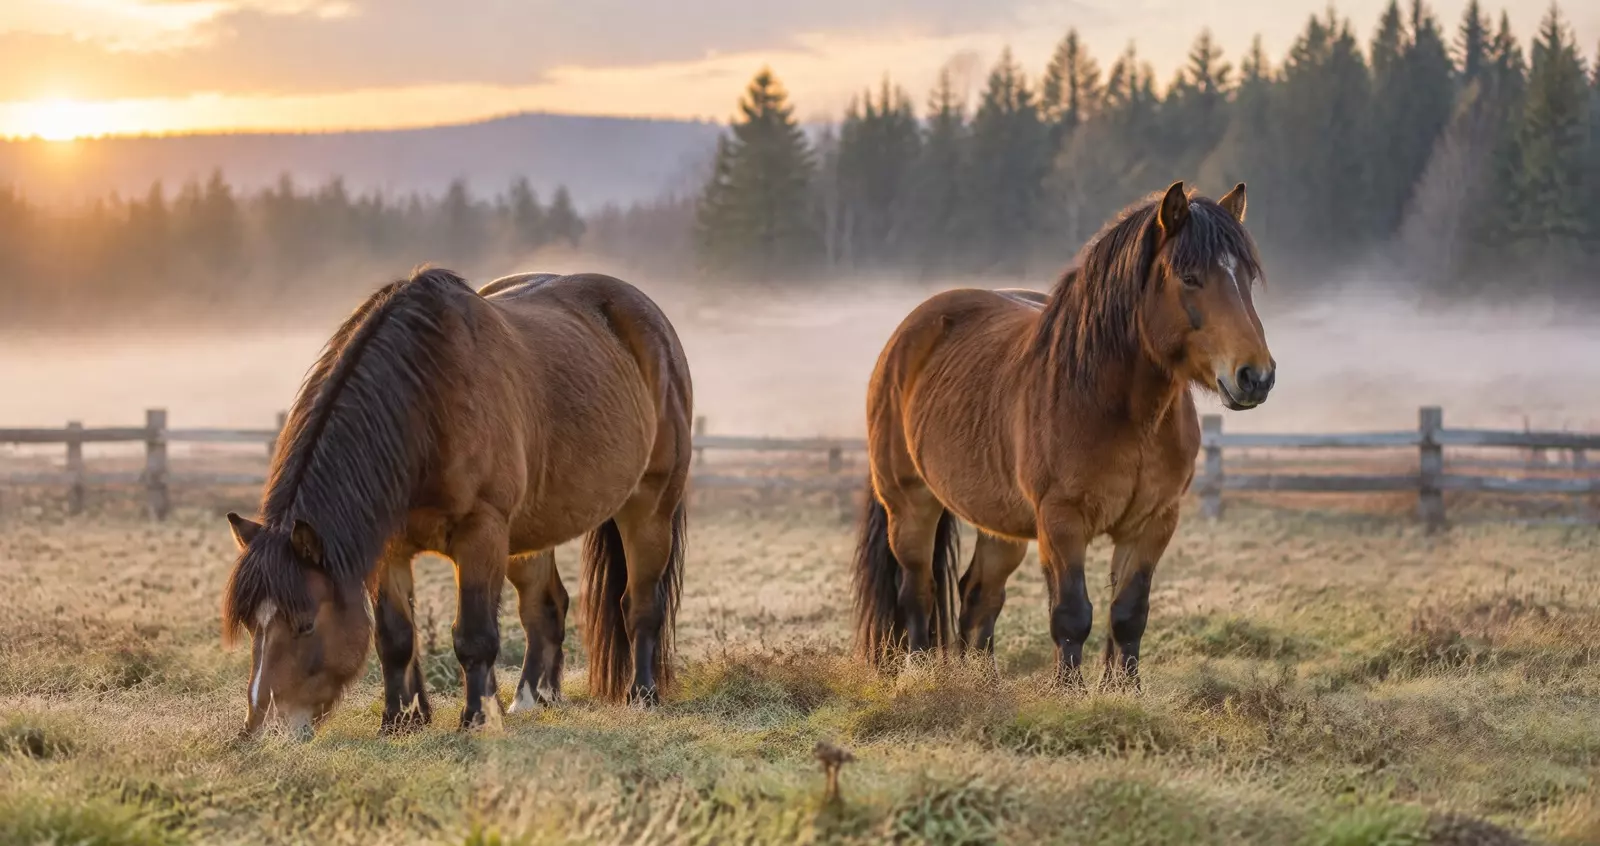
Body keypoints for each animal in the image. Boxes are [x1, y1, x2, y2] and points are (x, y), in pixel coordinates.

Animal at [221, 268, 693, 738]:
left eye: (305, 624)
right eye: (250, 625)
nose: (260, 730)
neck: (427, 405)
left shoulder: (481, 534)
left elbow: (474, 636)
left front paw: (477, 718)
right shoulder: (390, 547)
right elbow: (394, 637)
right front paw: (401, 720)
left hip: (649, 509)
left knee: (639, 605)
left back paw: (641, 695)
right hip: (528, 532)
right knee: (545, 608)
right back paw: (532, 699)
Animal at [851, 181, 1274, 690]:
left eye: (1247, 279)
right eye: (1189, 277)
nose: (1256, 376)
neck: (1122, 410)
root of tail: (903, 337)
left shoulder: (1152, 523)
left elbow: (1128, 614)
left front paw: (1123, 692)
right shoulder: (1062, 521)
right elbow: (1072, 614)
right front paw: (1068, 694)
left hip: (1001, 522)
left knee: (978, 596)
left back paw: (983, 685)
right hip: (910, 504)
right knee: (919, 592)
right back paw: (919, 675)